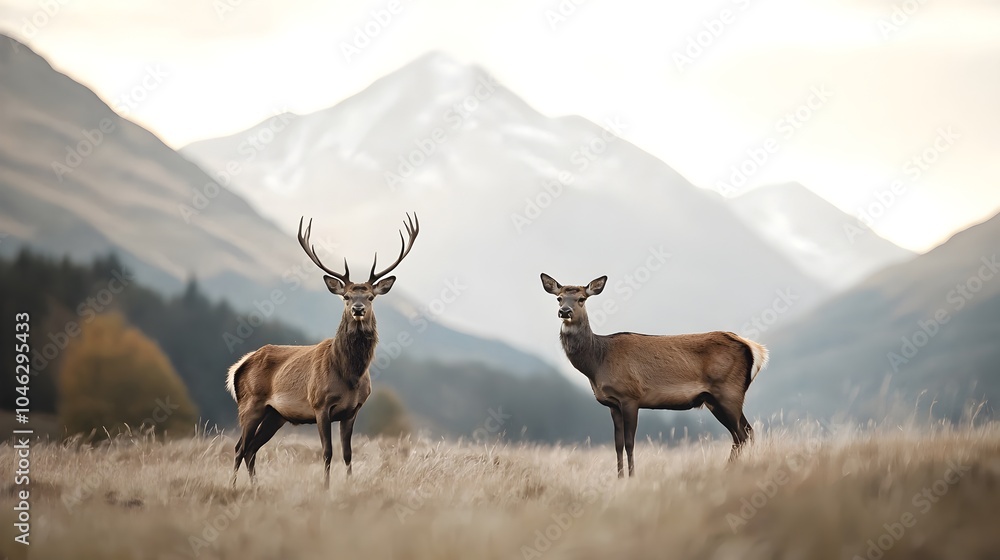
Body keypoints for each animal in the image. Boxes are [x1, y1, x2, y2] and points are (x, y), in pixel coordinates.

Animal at [226, 213, 419, 488]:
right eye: (346, 297)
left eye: (371, 297)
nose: (358, 309)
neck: (350, 375)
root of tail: (239, 365)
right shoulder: (320, 405)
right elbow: (327, 452)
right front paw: (325, 488)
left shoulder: (352, 411)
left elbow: (347, 453)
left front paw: (348, 485)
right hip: (250, 403)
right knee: (239, 447)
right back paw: (233, 486)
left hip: (275, 415)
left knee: (252, 448)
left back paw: (255, 486)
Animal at [539, 273, 768, 478]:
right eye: (559, 297)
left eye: (581, 299)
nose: (564, 311)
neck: (597, 363)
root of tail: (755, 348)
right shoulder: (613, 404)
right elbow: (617, 444)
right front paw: (619, 477)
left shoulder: (630, 396)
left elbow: (630, 442)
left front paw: (631, 477)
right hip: (714, 400)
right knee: (745, 433)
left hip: (729, 391)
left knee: (742, 433)